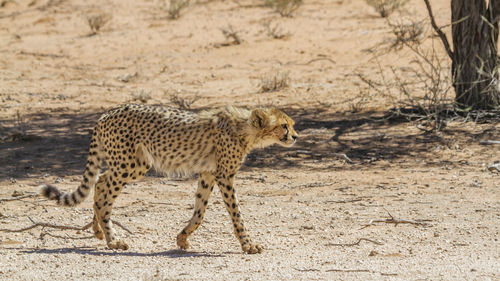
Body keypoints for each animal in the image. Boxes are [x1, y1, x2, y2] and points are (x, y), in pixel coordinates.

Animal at [40, 104, 296, 253]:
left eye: (291, 124)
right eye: (284, 126)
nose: (295, 136)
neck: (246, 129)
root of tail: (106, 114)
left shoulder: (208, 174)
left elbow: (200, 211)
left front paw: (182, 238)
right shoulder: (225, 176)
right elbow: (236, 214)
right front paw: (248, 244)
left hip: (135, 164)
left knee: (101, 181)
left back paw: (98, 231)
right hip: (128, 165)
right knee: (104, 192)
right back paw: (113, 240)